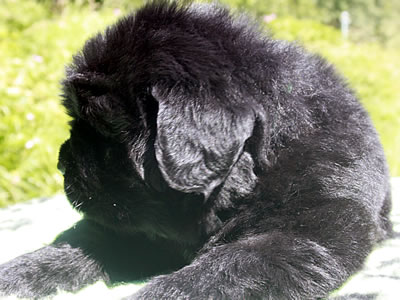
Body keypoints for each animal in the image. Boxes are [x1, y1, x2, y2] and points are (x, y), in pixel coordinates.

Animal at [0, 1, 392, 298]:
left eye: (106, 131)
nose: (61, 164)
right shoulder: (136, 229)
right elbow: (80, 242)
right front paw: (20, 272)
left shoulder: (302, 229)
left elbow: (224, 267)